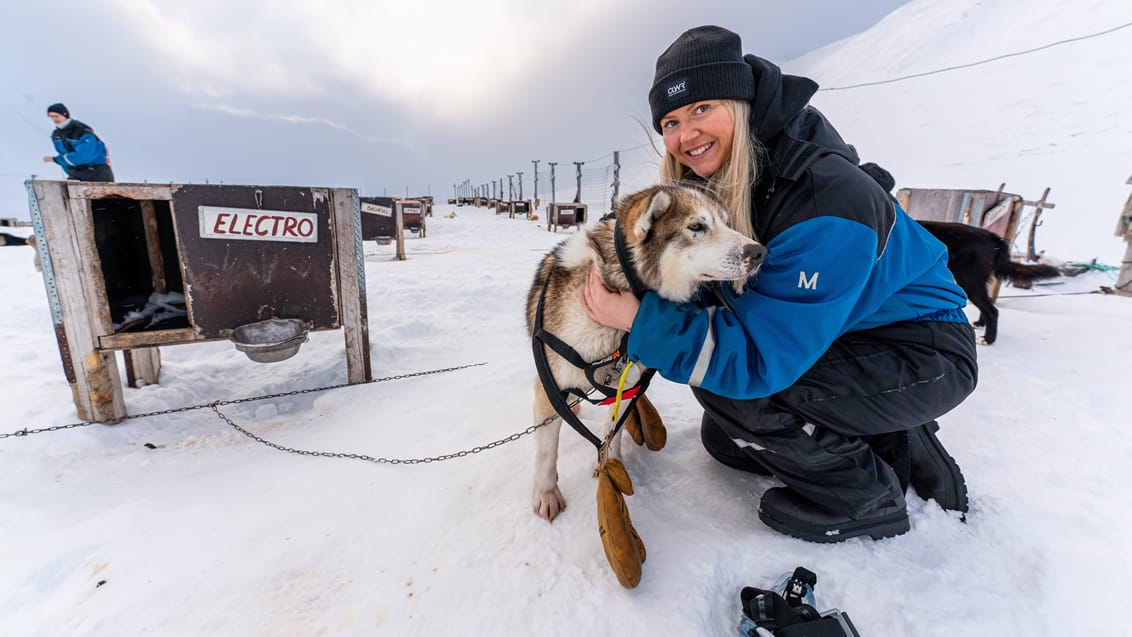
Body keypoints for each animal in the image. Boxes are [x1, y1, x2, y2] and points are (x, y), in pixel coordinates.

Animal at [525, 184, 765, 522]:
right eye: (696, 226)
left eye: (725, 223)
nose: (758, 252)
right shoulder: (550, 387)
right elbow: (547, 450)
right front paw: (547, 494)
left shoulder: (626, 386)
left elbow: (613, 431)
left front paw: (610, 463)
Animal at [919, 221, 1059, 346]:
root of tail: (995, 238)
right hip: (976, 282)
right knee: (987, 305)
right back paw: (980, 324)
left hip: (968, 281)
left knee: (992, 311)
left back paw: (988, 339)